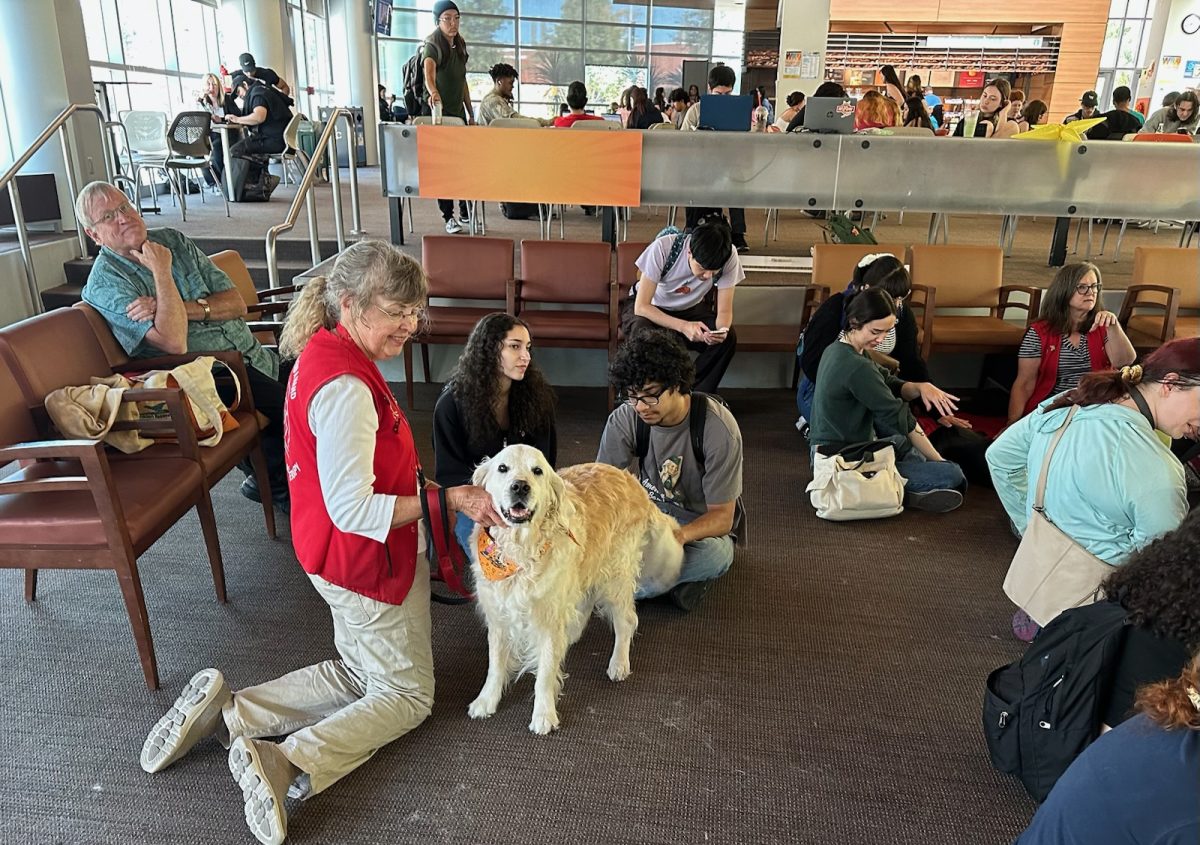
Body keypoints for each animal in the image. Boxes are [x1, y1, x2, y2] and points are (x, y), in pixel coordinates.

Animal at [465, 441, 681, 734]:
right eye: (502, 468)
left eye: (537, 471)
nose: (520, 486)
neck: (519, 553)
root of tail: (632, 482)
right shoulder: (498, 614)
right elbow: (495, 664)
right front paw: (486, 700)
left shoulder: (547, 616)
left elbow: (545, 672)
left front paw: (544, 714)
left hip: (615, 575)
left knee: (626, 621)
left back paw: (618, 663)